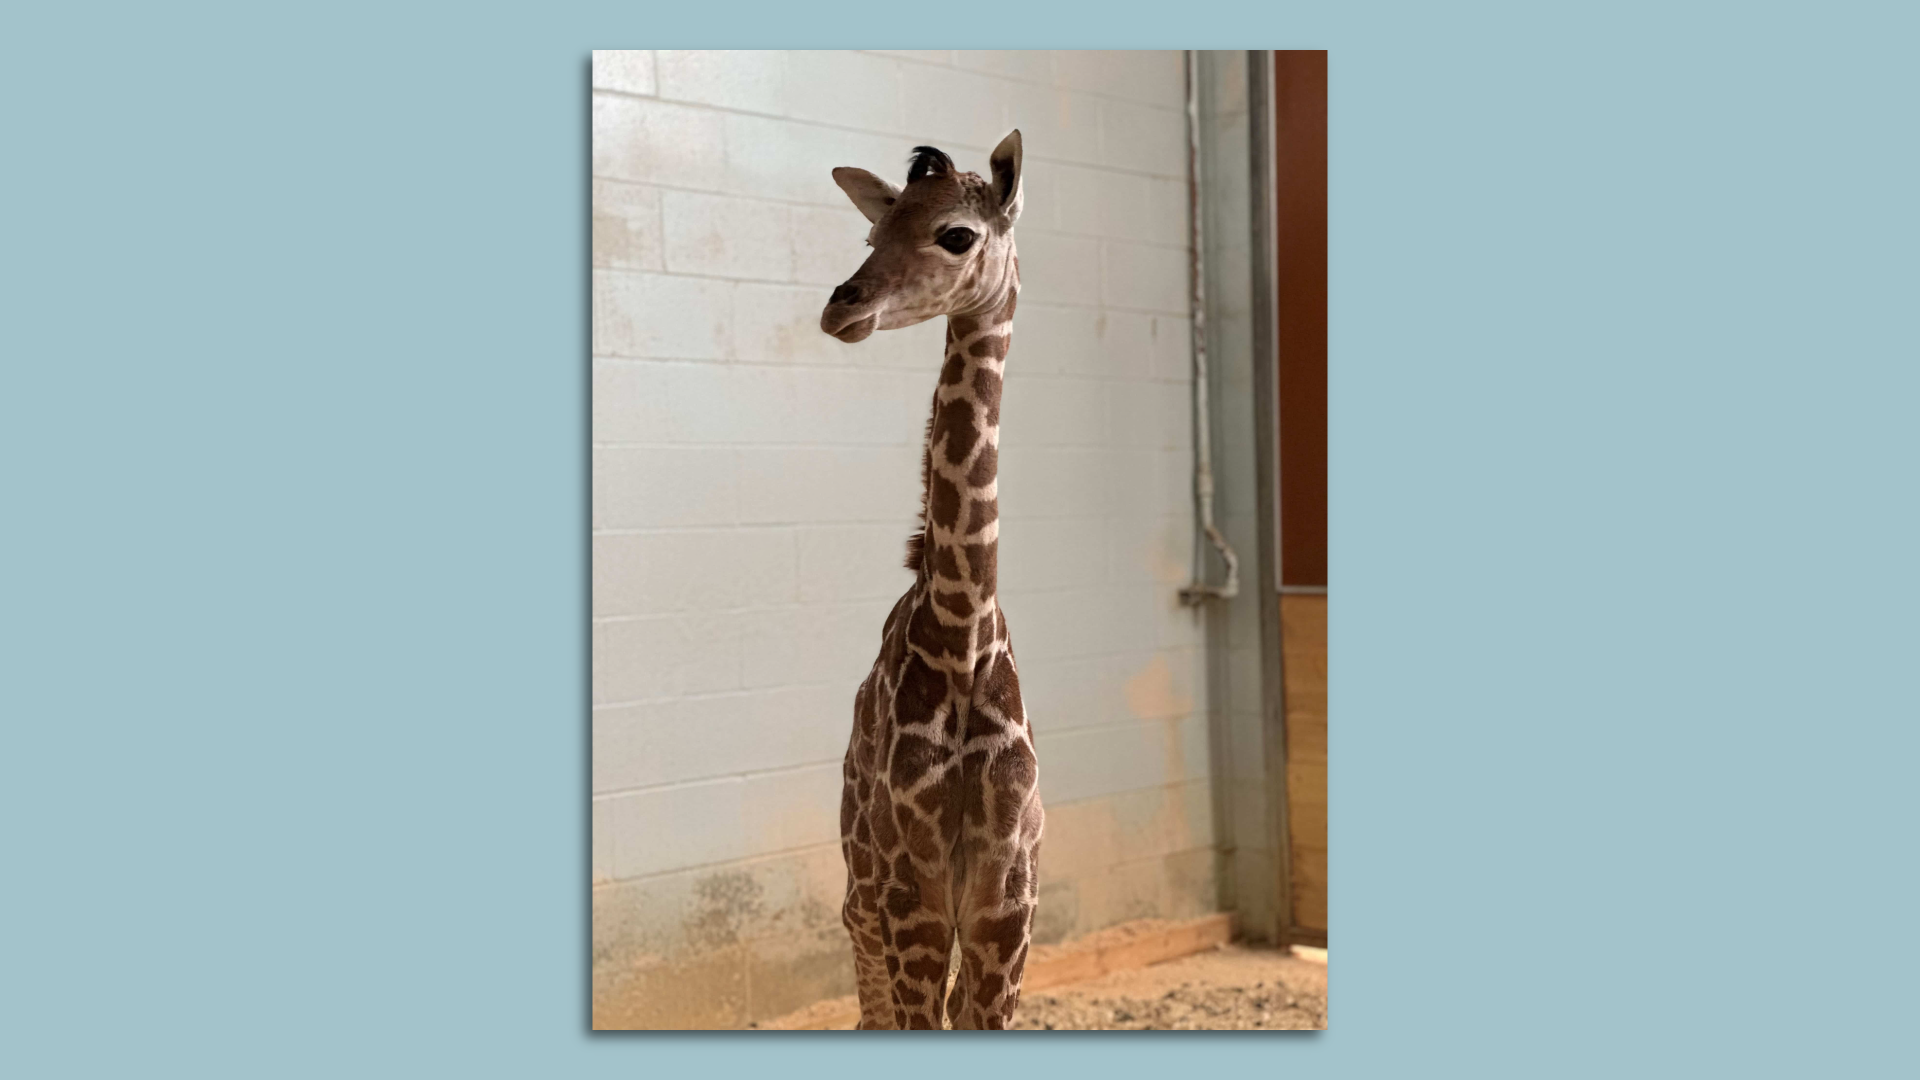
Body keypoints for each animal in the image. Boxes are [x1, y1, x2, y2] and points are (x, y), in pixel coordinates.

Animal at [818, 130, 1043, 1031]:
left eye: (956, 235)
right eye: (874, 232)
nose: (840, 308)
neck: (959, 635)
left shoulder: (1005, 903)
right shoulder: (911, 893)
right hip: (863, 894)